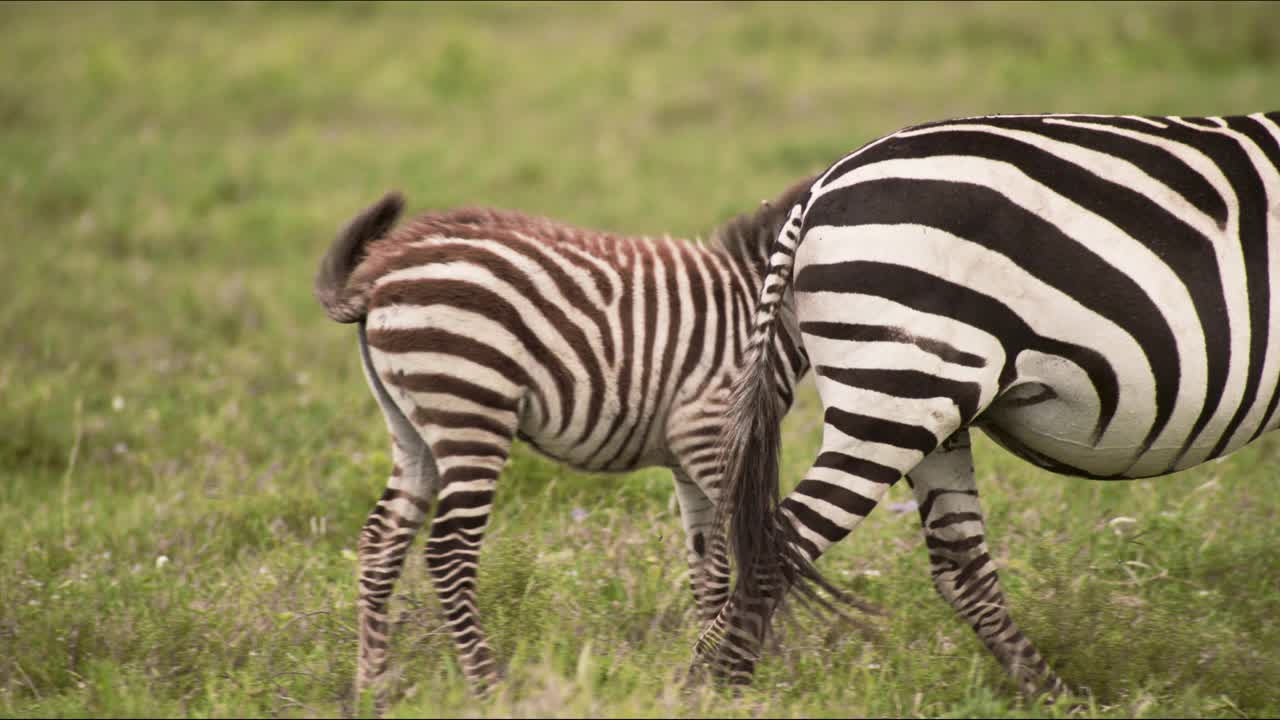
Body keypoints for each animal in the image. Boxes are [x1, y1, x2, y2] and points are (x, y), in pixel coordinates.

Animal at [312, 180, 808, 702]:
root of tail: (382, 270)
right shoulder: (709, 429)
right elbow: (758, 550)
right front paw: (750, 668)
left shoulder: (691, 454)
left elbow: (708, 568)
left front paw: (708, 671)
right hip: (471, 404)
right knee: (449, 551)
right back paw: (488, 689)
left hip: (412, 428)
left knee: (381, 540)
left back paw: (372, 688)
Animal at [706, 110, 1280, 696]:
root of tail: (818, 191)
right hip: (895, 394)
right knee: (779, 543)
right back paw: (720, 690)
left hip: (927, 399)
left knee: (959, 566)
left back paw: (1054, 698)